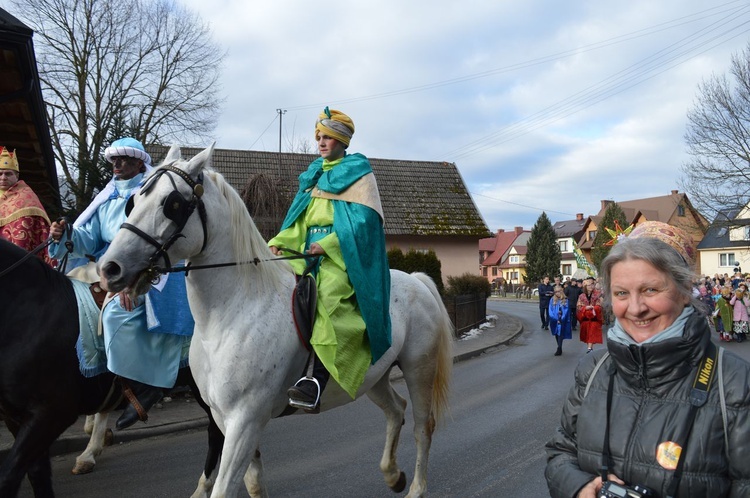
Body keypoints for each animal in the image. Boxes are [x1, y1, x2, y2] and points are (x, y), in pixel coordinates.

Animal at [97, 145, 456, 498]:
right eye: (134, 200)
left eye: (172, 203)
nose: (110, 268)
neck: (232, 313)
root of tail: (416, 280)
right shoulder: (226, 420)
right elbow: (254, 482)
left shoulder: (245, 420)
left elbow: (225, 487)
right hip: (372, 377)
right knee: (396, 410)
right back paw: (392, 475)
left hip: (418, 369)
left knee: (422, 427)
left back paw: (416, 488)